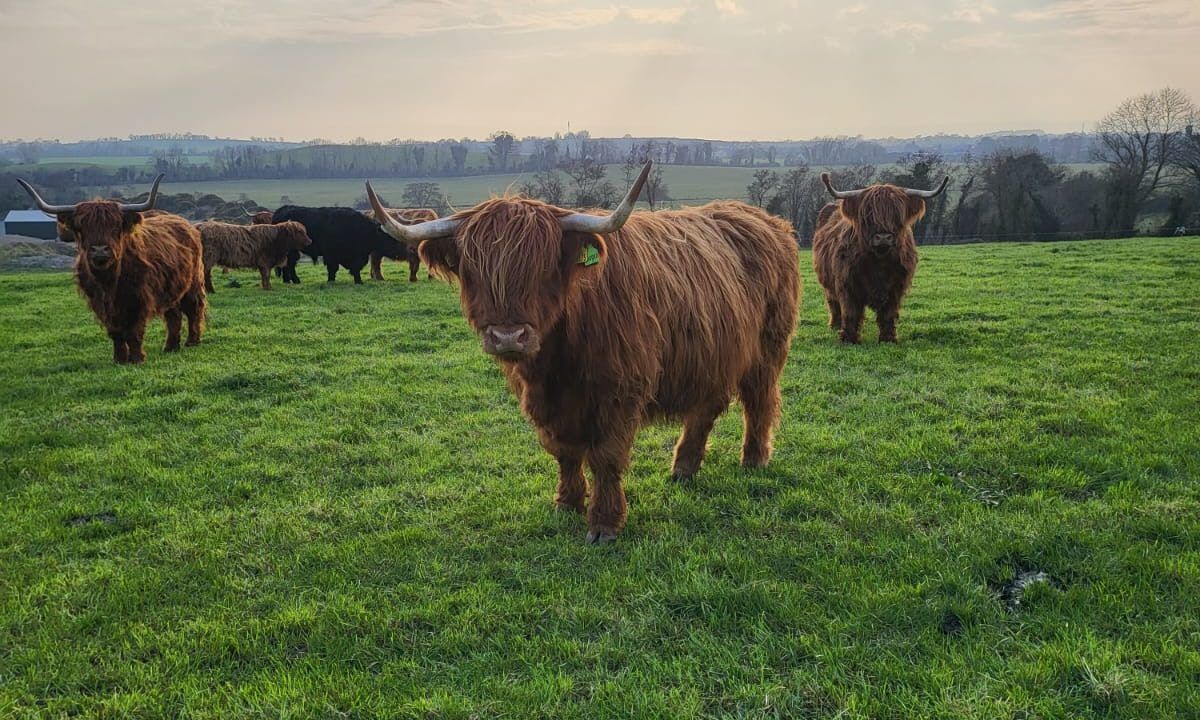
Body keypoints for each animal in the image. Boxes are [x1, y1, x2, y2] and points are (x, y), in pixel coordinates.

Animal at [17, 175, 206, 364]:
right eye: (82, 227)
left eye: (115, 226)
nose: (100, 250)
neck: (108, 282)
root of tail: (183, 222)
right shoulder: (100, 303)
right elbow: (115, 332)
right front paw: (119, 359)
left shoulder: (138, 299)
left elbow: (134, 332)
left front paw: (137, 358)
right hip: (170, 288)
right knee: (173, 315)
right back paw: (170, 347)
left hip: (193, 283)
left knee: (193, 309)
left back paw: (192, 341)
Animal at [271, 205, 407, 284]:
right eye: (389, 237)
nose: (402, 251)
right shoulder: (331, 254)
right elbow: (333, 269)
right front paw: (331, 281)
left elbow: (356, 269)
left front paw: (358, 281)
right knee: (290, 264)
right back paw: (294, 280)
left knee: (288, 264)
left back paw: (288, 280)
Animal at [366, 162, 800, 545]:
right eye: (473, 270)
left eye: (544, 268)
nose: (508, 336)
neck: (557, 362)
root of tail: (765, 219)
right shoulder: (545, 402)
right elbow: (563, 452)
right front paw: (567, 502)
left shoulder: (620, 390)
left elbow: (606, 456)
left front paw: (605, 523)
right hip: (711, 355)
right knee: (705, 409)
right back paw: (683, 467)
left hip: (767, 349)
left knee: (760, 402)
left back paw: (753, 459)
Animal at [812, 172, 948, 344]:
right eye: (868, 214)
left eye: (897, 215)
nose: (883, 237)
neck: (879, 262)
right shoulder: (847, 284)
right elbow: (851, 312)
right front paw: (849, 338)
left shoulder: (897, 286)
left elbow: (888, 314)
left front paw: (888, 338)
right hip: (827, 283)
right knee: (833, 302)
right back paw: (835, 324)